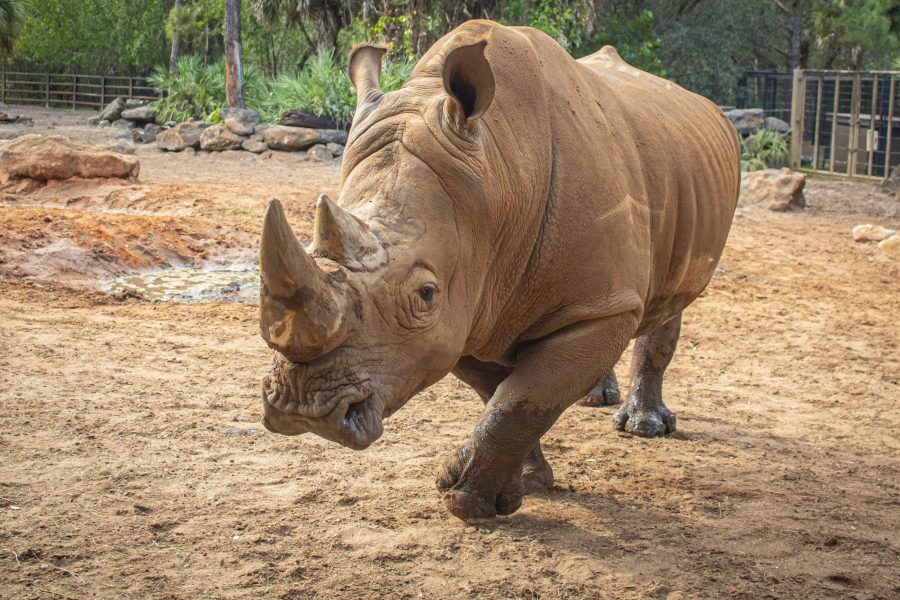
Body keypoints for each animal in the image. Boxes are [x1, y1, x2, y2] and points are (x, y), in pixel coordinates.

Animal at [258, 20, 740, 522]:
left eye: (426, 294)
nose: (305, 409)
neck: (499, 177)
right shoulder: (469, 304)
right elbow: (505, 395)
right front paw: (523, 484)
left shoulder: (482, 299)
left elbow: (522, 400)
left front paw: (469, 502)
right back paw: (594, 399)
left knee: (665, 301)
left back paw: (645, 428)